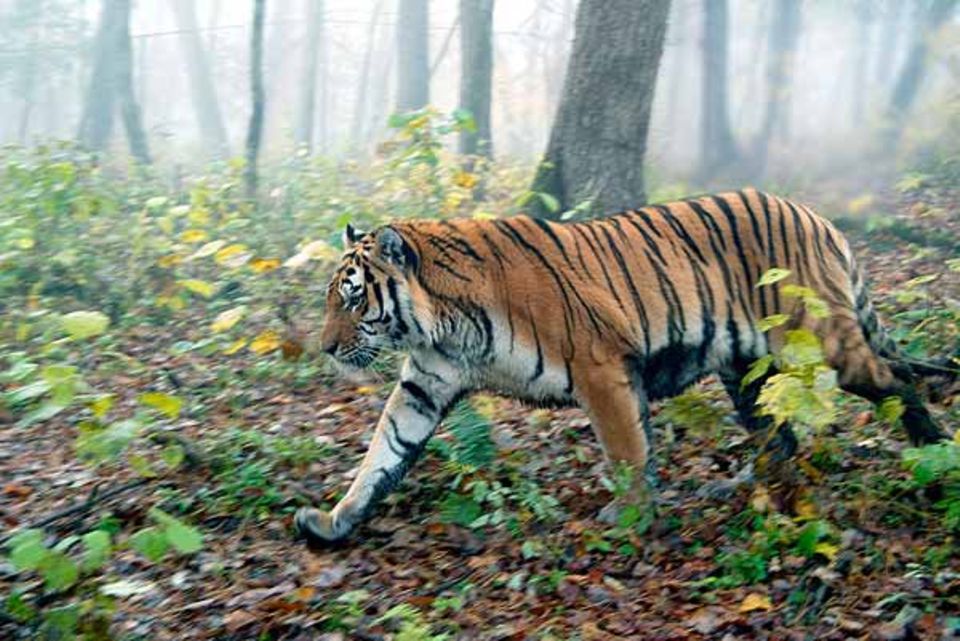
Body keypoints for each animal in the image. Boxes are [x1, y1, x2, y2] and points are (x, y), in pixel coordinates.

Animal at [294, 188, 952, 544]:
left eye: (352, 297)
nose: (325, 348)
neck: (441, 323)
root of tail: (816, 216)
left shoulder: (600, 366)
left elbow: (626, 448)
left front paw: (631, 516)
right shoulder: (424, 384)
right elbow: (382, 455)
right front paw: (334, 522)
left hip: (821, 340)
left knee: (897, 381)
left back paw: (936, 457)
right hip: (745, 369)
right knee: (777, 432)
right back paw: (748, 487)